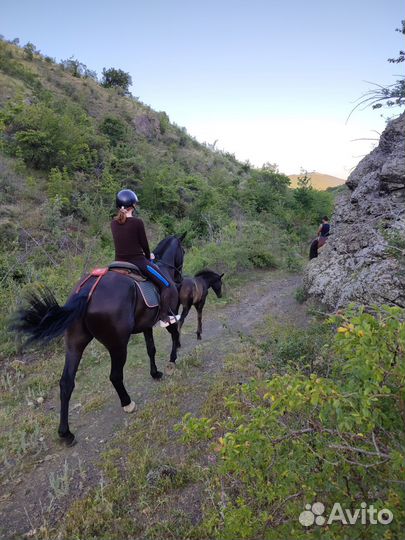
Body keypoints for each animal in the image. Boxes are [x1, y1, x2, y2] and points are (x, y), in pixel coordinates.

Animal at [11, 234, 185, 446]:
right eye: (183, 251)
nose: (179, 277)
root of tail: (87, 292)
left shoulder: (146, 326)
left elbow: (150, 349)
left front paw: (155, 373)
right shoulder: (169, 316)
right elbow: (174, 335)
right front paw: (172, 361)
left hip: (74, 345)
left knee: (66, 383)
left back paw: (66, 433)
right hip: (118, 345)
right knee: (115, 376)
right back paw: (127, 403)